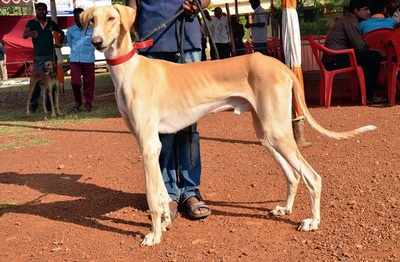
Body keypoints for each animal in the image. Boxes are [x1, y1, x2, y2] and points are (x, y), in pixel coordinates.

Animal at [80, 4, 376, 246]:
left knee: (312, 177)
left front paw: (154, 235)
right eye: (92, 20)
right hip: (266, 133)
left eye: (112, 18)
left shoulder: (148, 146)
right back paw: (285, 209)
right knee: (293, 175)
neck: (129, 69)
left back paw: (313, 221)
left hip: (277, 132)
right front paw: (164, 222)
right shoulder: (153, 145)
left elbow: (153, 196)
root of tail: (282, 65)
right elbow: (163, 194)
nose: (97, 42)